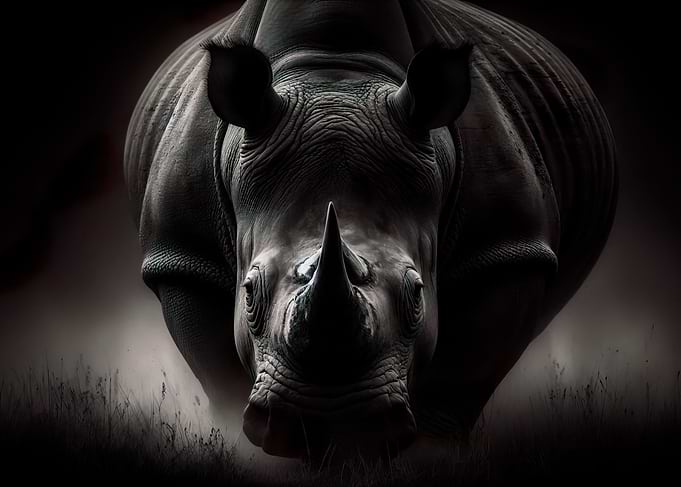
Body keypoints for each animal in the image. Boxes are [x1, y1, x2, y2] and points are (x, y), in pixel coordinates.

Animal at [124, 0, 617, 459]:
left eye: (417, 294)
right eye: (247, 292)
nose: (326, 423)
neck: (333, 72)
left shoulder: (506, 248)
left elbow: (459, 381)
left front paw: (427, 457)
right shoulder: (186, 255)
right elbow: (220, 377)